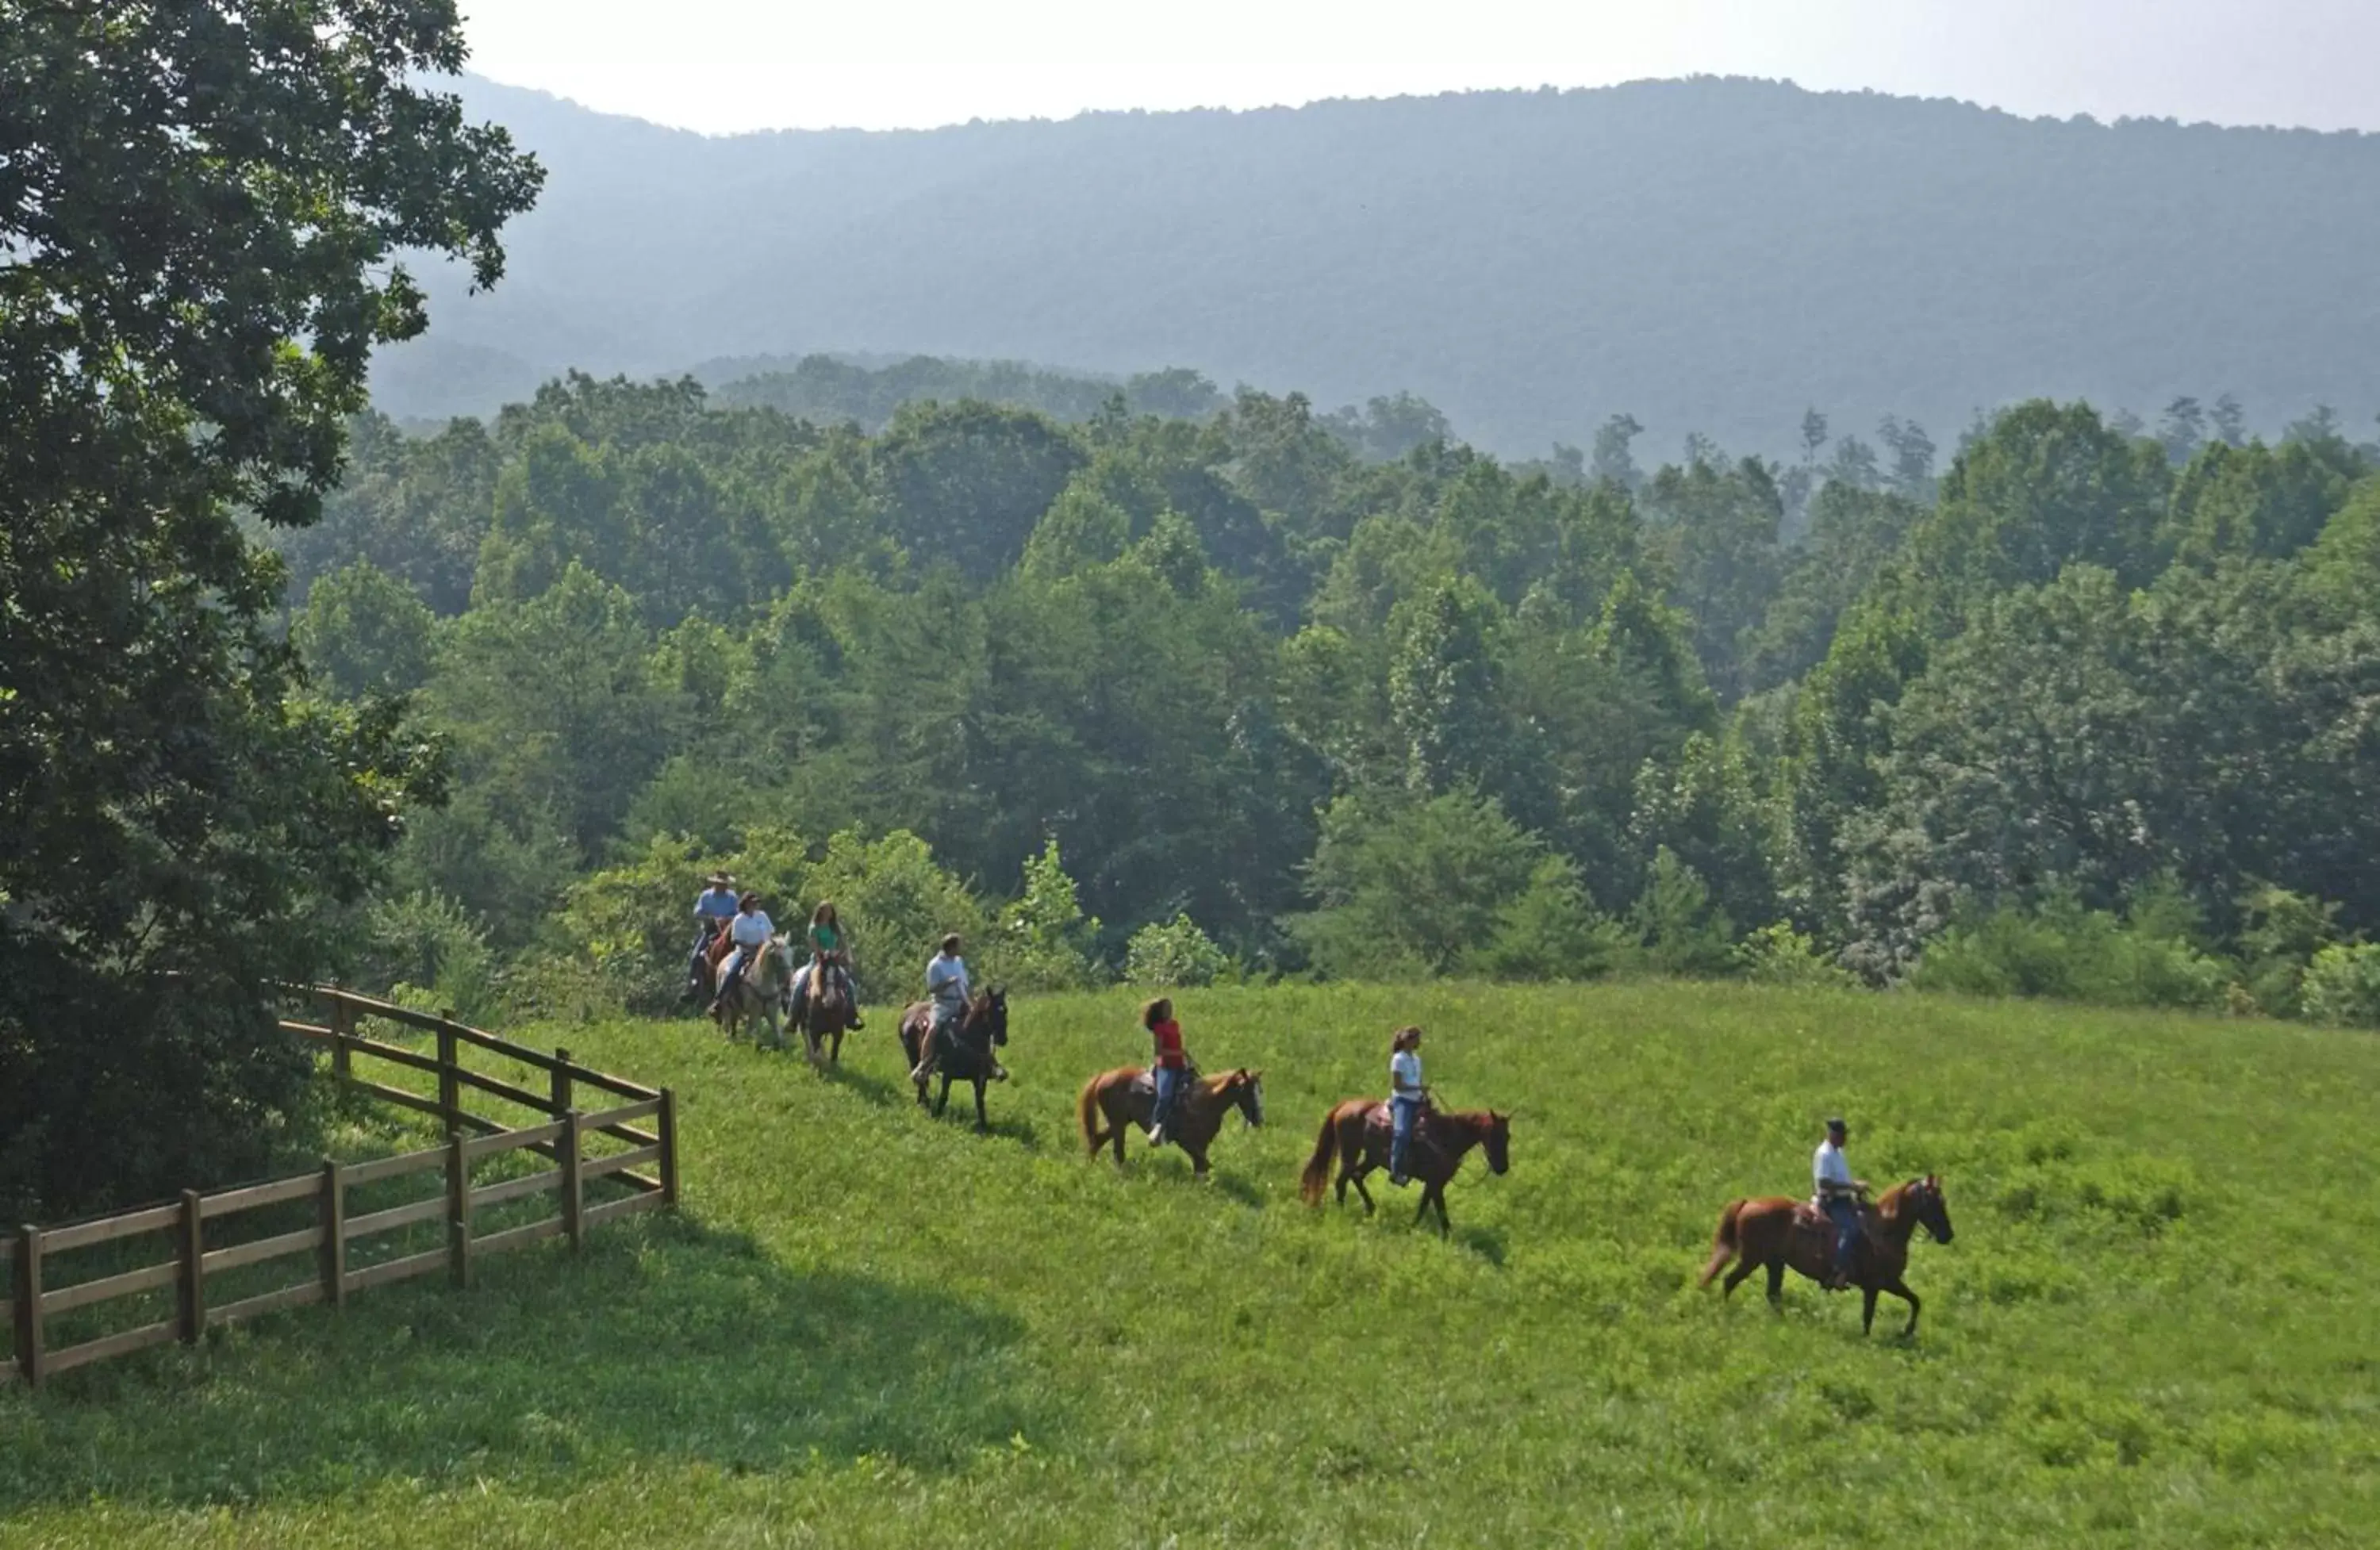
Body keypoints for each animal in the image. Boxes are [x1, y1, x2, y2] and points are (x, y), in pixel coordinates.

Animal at [714, 933, 800, 1057]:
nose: (790, 978)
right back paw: (728, 1042)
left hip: (736, 1008)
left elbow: (778, 1036)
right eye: (779, 957)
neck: (763, 984)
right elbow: (756, 1037)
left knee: (733, 1024)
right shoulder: (754, 1014)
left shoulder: (772, 1014)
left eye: (792, 954)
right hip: (726, 1007)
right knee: (726, 1025)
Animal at [1081, 1066, 1266, 1176]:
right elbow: (1204, 1165)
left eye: (1260, 1091)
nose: (1258, 1119)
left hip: (1119, 1122)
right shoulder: (1187, 1142)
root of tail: (1104, 1076)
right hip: (1118, 1124)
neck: (1205, 1101)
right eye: (1248, 1091)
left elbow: (1202, 1167)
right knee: (1116, 1152)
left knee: (1097, 1141)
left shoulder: (1202, 1144)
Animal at [1304, 1104, 1504, 1237]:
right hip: (1350, 1154)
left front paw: (1411, 1228)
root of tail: (1345, 1105)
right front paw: (1447, 1237)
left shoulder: (1433, 1183)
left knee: (1356, 1176)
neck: (1446, 1137)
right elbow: (1441, 1211)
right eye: (1493, 1134)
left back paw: (1371, 1209)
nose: (1503, 1168)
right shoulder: (1436, 1183)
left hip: (1372, 1158)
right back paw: (1342, 1212)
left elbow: (1424, 1206)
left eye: (1507, 1136)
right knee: (1342, 1181)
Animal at [1695, 1176, 1952, 1333]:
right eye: (1935, 1202)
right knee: (1730, 1281)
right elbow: (1871, 1315)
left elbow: (1915, 1301)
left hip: (1774, 1263)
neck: (1883, 1230)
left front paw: (1905, 1332)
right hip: (1751, 1259)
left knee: (1773, 1294)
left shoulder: (1887, 1283)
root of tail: (1748, 1202)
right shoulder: (1879, 1284)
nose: (1948, 1235)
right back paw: (1727, 1314)